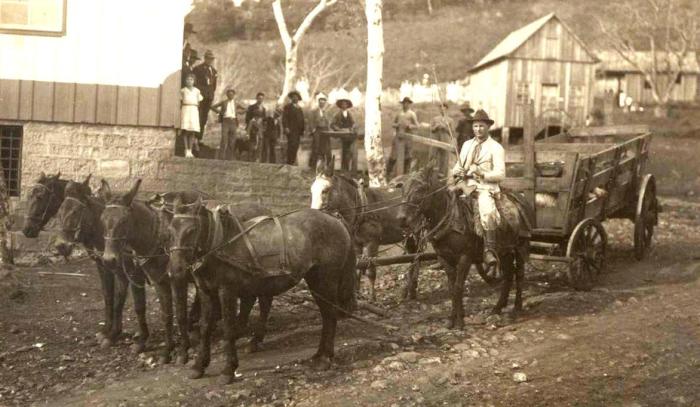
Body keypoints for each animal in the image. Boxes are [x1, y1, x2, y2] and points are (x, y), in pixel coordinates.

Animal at [53, 177, 149, 352]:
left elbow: (122, 301)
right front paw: (106, 331)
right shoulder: (104, 267)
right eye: (59, 212)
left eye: (76, 211)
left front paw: (114, 334)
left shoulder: (128, 272)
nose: (61, 246)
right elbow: (108, 296)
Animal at [168, 202, 356, 384]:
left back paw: (324, 358)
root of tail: (335, 219)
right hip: (314, 281)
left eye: (191, 230)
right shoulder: (206, 291)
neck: (219, 243)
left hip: (325, 280)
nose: (175, 270)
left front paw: (228, 370)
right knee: (325, 315)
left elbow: (228, 329)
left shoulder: (227, 291)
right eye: (170, 230)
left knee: (329, 316)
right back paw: (318, 355)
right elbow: (205, 327)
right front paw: (199, 366)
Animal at [396, 164, 528, 330]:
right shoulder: (445, 258)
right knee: (509, 275)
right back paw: (497, 308)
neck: (451, 220)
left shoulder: (465, 258)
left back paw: (517, 306)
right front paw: (452, 319)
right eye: (402, 188)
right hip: (504, 251)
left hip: (520, 247)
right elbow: (452, 288)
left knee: (519, 274)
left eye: (420, 189)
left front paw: (459, 322)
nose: (401, 219)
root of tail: (518, 198)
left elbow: (459, 287)